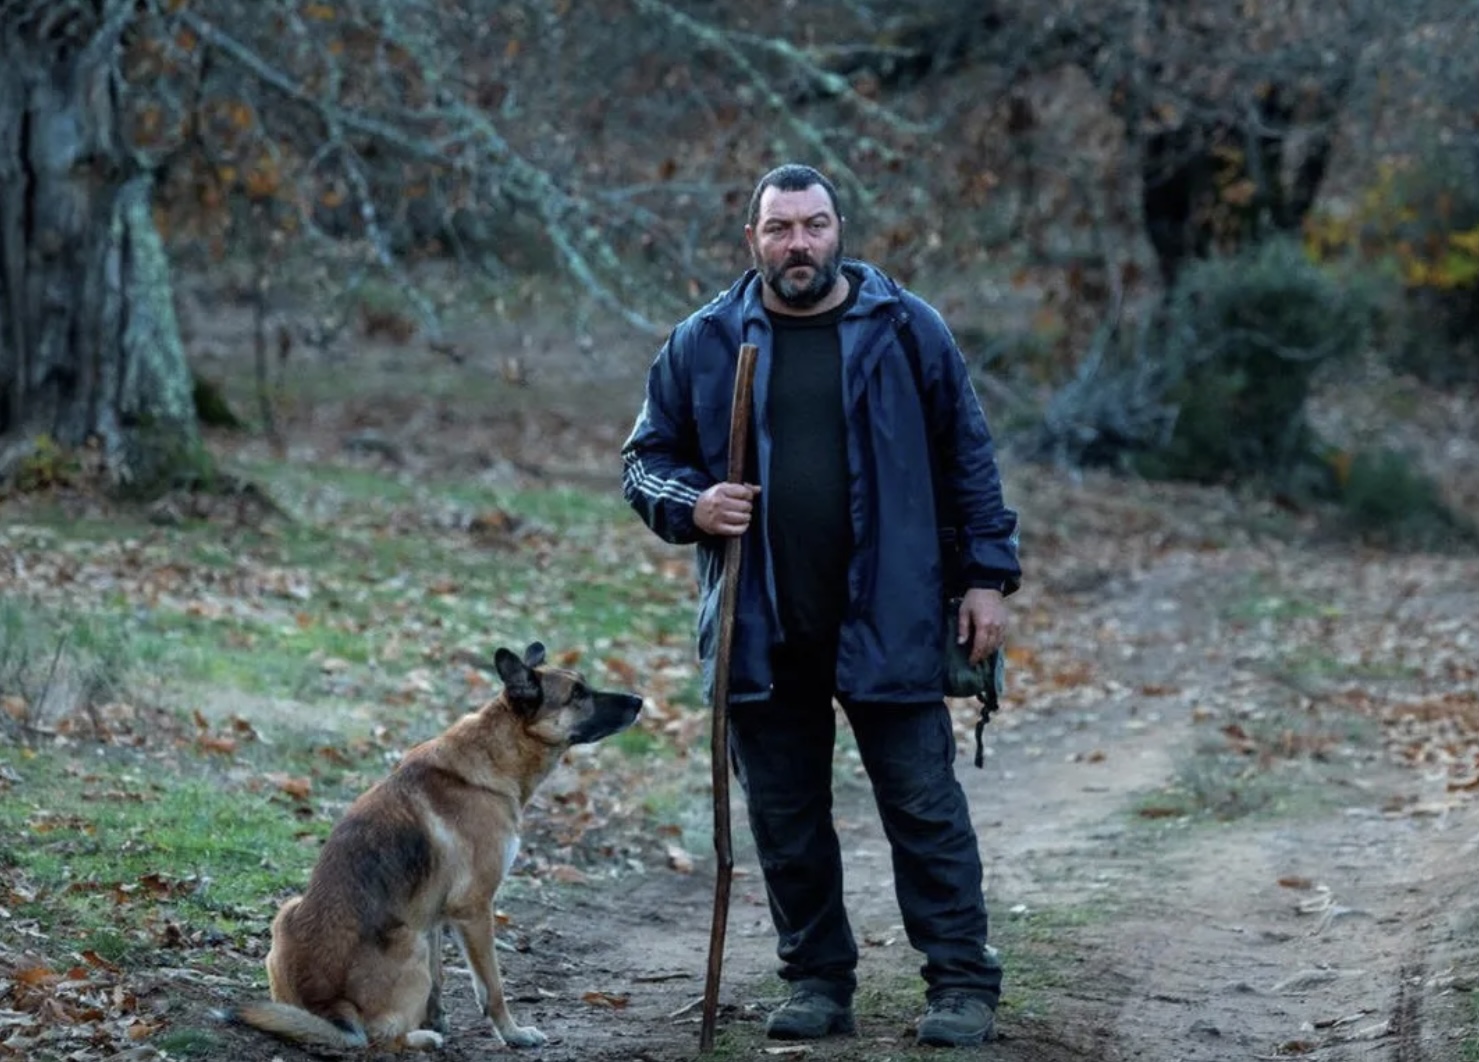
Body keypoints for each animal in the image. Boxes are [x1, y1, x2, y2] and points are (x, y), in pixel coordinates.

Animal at [218, 642, 643, 1051]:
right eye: (577, 693)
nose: (640, 701)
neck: (497, 754)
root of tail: (328, 1006)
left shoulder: (435, 915)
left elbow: (439, 982)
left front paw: (437, 1019)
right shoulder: (474, 909)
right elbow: (492, 988)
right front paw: (513, 1034)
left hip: (301, 913)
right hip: (409, 940)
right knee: (377, 1037)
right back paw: (421, 1039)